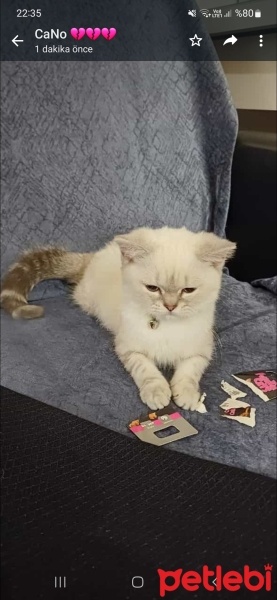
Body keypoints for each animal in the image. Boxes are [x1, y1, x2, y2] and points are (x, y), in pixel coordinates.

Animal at [1, 227, 236, 410]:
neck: (167, 328)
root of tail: (95, 255)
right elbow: (146, 369)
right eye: (152, 288)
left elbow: (190, 371)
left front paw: (186, 394)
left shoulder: (202, 349)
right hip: (88, 299)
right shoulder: (128, 347)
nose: (170, 306)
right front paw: (157, 391)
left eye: (188, 290)